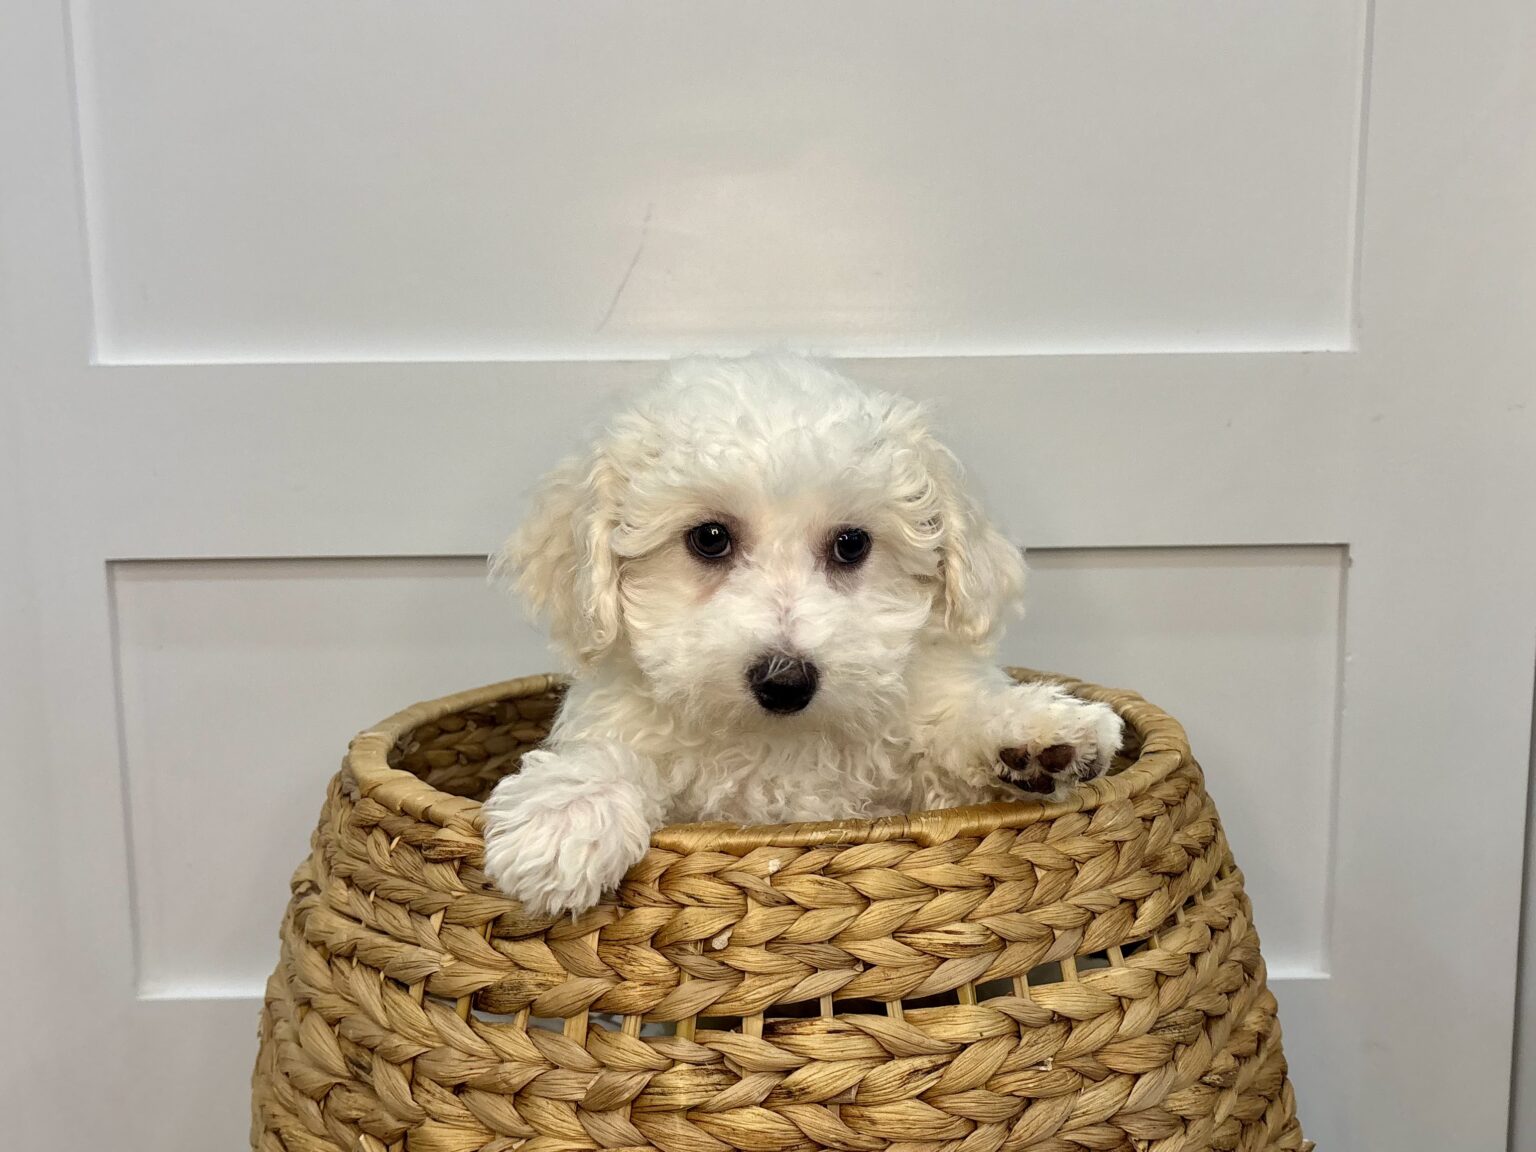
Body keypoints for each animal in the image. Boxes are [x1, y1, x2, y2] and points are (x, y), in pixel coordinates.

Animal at [482, 355, 1123, 916]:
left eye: (852, 544)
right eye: (709, 538)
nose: (785, 681)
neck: (783, 745)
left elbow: (952, 732)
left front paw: (1035, 733)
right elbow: (612, 755)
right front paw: (566, 816)